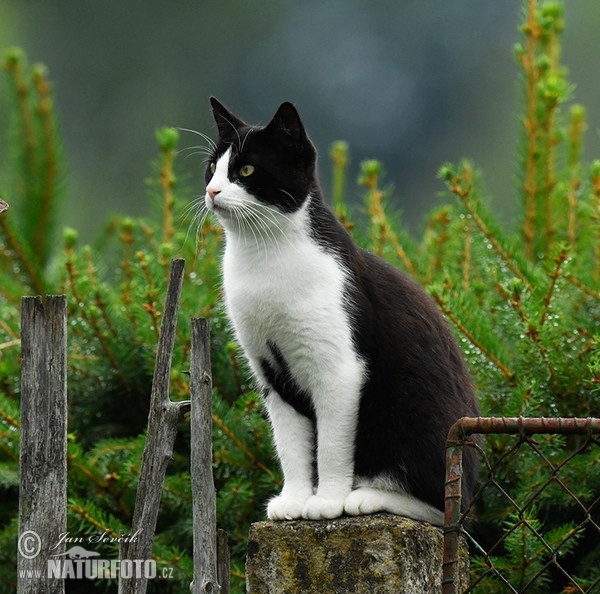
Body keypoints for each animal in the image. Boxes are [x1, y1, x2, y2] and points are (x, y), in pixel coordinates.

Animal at [202, 98, 478, 524]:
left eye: (246, 170)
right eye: (212, 166)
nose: (212, 190)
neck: (264, 257)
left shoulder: (339, 369)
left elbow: (331, 443)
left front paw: (327, 501)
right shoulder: (270, 371)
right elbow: (290, 441)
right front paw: (294, 499)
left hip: (413, 416)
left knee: (449, 506)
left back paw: (366, 496)